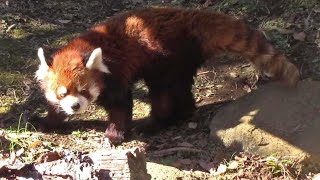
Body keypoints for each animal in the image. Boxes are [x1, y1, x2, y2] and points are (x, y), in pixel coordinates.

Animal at [35, 7, 300, 143]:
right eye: (62, 94)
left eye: (84, 91)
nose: (75, 106)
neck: (84, 47)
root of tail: (189, 17)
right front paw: (47, 122)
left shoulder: (115, 76)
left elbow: (121, 106)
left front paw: (114, 133)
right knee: (180, 88)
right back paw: (183, 113)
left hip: (167, 57)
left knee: (163, 90)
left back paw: (157, 122)